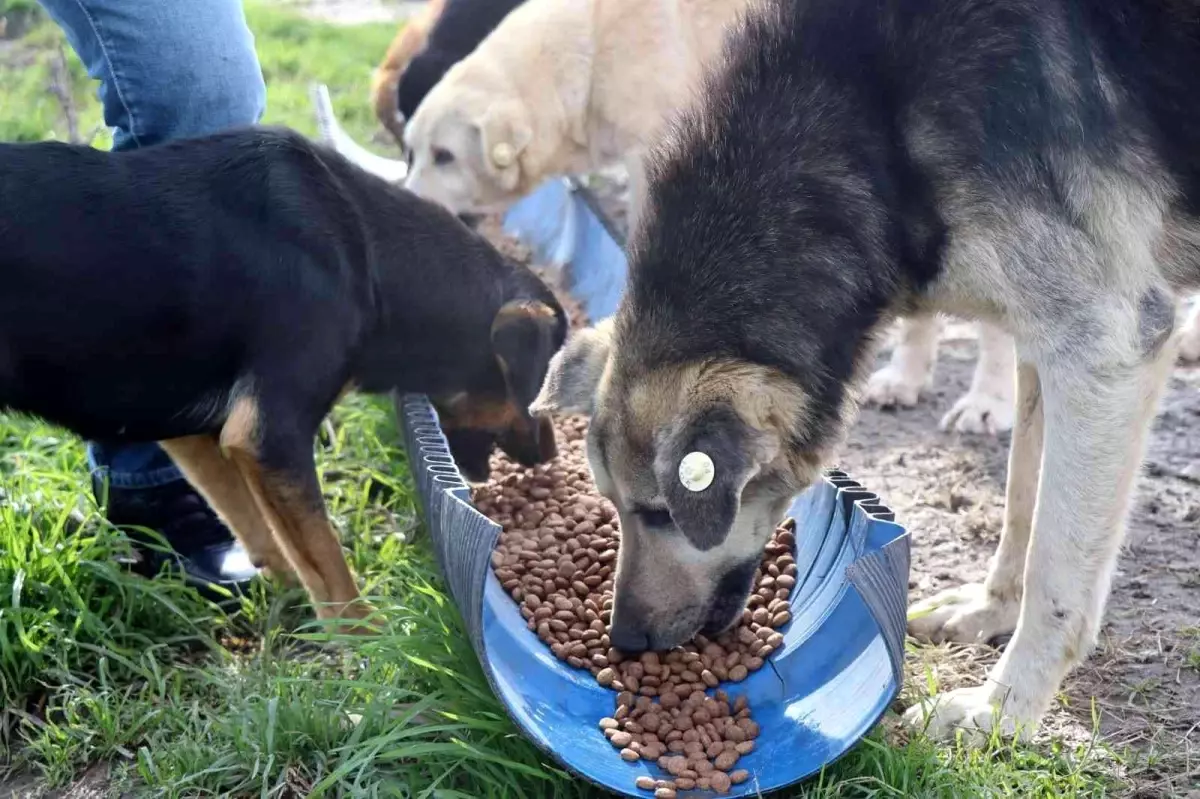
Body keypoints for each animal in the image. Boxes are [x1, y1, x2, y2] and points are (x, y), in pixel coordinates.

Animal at [1, 125, 566, 623]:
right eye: (544, 390)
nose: (551, 455)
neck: (370, 257)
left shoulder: (196, 431)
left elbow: (261, 530)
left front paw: (288, 596)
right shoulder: (270, 436)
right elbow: (330, 565)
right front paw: (369, 648)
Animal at [532, 0, 1200, 739]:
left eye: (658, 512)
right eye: (613, 504)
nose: (624, 640)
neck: (867, 119)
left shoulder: (1104, 346)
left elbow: (1057, 569)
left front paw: (1000, 712)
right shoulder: (1044, 342)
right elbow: (1022, 508)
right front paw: (990, 610)